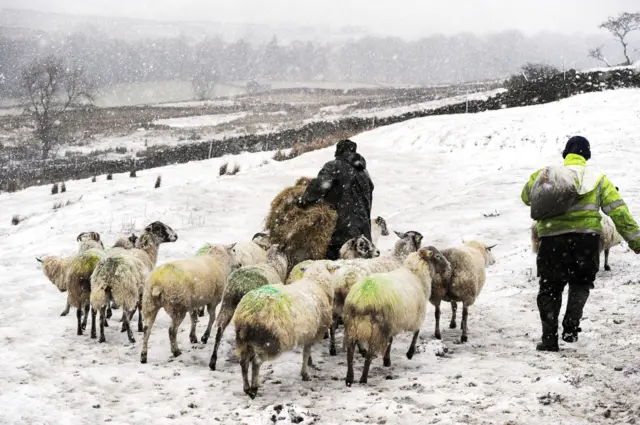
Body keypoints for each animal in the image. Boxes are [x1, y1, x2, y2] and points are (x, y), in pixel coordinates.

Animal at [234, 262, 336, 398]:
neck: (316, 282)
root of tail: (248, 312)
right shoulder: (312, 335)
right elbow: (306, 354)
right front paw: (305, 374)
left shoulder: (308, 334)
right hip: (271, 342)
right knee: (256, 362)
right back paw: (254, 389)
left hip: (244, 340)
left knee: (243, 362)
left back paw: (246, 388)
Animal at [344, 243, 450, 386]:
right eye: (437, 256)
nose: (449, 265)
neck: (416, 274)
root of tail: (360, 299)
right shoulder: (416, 316)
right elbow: (416, 332)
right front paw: (410, 353)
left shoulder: (393, 322)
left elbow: (391, 340)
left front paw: (387, 360)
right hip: (377, 329)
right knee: (369, 354)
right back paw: (363, 379)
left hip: (352, 326)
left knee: (350, 353)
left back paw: (349, 378)